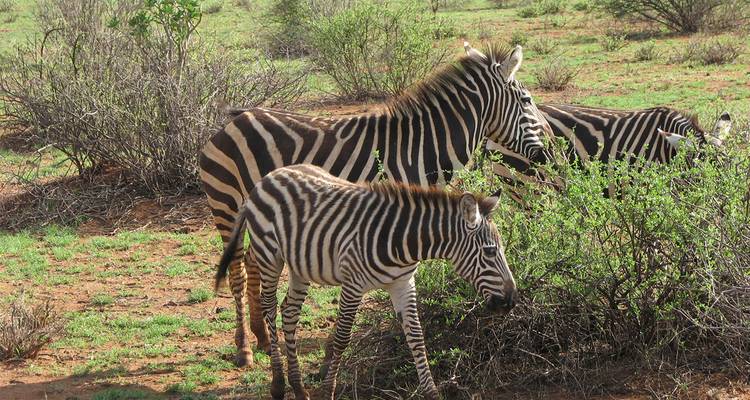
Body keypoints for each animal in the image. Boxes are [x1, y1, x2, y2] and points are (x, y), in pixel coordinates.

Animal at [199, 42, 551, 365]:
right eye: (527, 101)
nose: (547, 155)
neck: (420, 147)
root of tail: (235, 119)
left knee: (253, 263)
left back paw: (261, 335)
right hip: (226, 204)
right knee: (237, 270)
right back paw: (244, 348)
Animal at [214, 164, 517, 400]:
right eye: (491, 252)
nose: (512, 301)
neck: (403, 241)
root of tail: (268, 177)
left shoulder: (403, 284)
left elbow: (417, 338)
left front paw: (432, 392)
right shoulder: (353, 285)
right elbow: (341, 339)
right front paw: (328, 391)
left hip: (300, 264)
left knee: (289, 311)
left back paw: (298, 387)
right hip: (270, 256)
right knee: (269, 307)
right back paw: (278, 384)